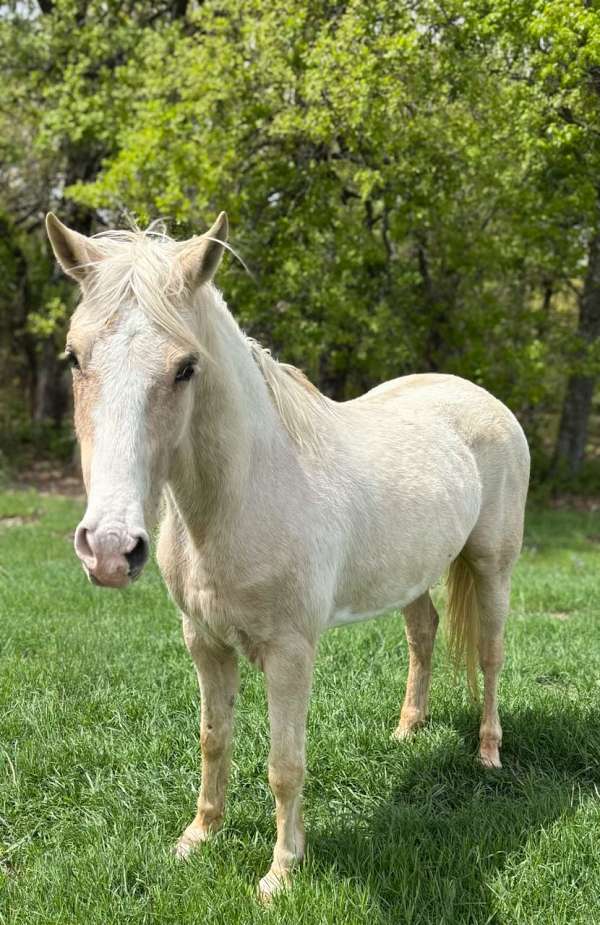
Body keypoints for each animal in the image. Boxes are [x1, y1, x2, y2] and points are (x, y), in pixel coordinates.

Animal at [46, 211, 530, 899]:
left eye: (185, 367)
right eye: (74, 357)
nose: (111, 549)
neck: (242, 498)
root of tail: (480, 398)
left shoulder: (290, 652)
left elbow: (284, 764)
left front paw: (280, 872)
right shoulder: (204, 642)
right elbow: (213, 738)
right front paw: (197, 838)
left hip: (492, 567)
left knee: (489, 655)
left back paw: (489, 754)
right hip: (409, 578)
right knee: (424, 633)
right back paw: (406, 731)